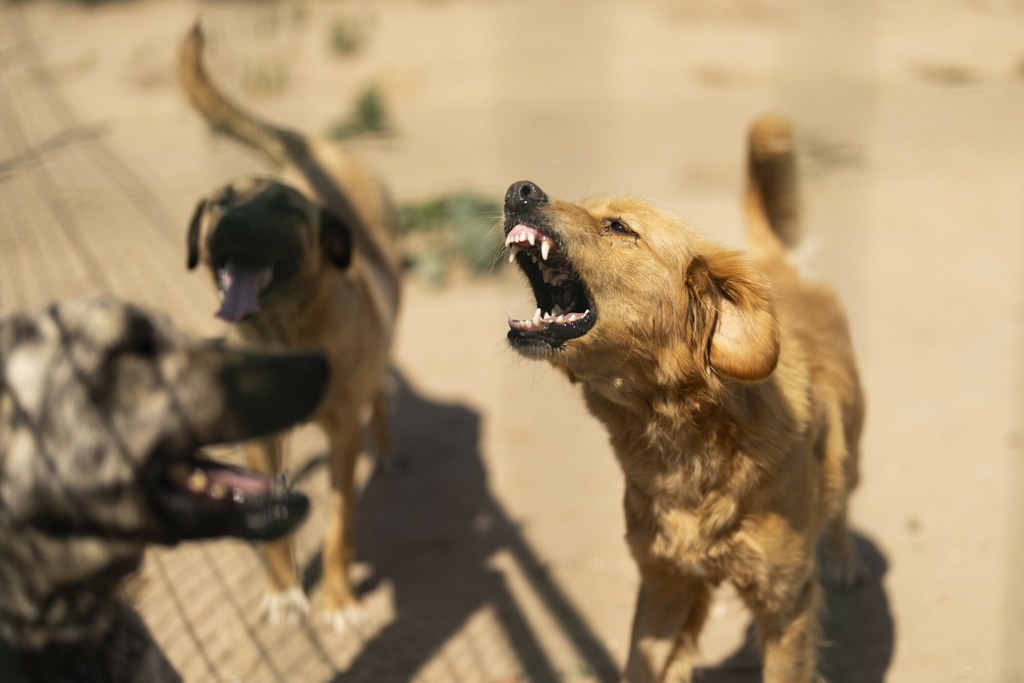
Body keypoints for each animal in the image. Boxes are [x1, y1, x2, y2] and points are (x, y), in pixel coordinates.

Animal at [178, 24, 401, 634]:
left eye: (285, 209)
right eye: (220, 203)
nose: (232, 224)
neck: (284, 332)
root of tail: (318, 150)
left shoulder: (343, 437)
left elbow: (339, 528)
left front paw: (339, 601)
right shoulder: (259, 437)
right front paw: (283, 593)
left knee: (380, 391)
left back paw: (387, 448)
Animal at [503, 114, 864, 679]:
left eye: (619, 227)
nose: (518, 191)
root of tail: (774, 267)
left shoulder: (785, 603)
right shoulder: (664, 583)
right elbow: (641, 663)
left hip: (852, 445)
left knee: (844, 494)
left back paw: (844, 558)